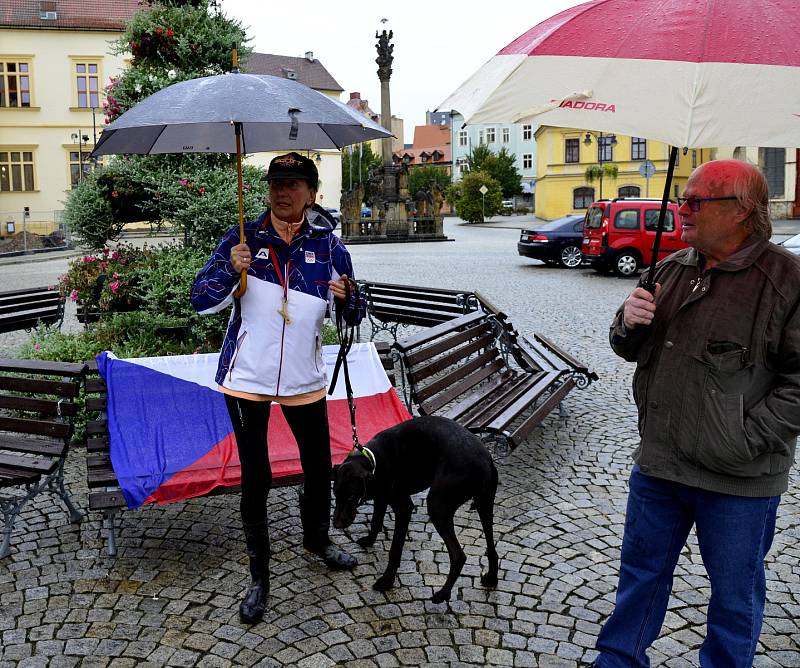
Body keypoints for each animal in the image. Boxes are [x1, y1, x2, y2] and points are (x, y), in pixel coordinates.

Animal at [330, 414, 494, 604]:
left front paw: (387, 580)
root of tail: (485, 460)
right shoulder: (381, 497)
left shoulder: (403, 508)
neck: (374, 459)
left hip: (437, 507)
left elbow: (395, 549)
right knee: (491, 547)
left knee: (458, 555)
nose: (337, 525)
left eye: (350, 496)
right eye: (335, 493)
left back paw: (443, 594)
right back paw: (492, 578)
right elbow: (376, 522)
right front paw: (369, 540)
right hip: (484, 504)